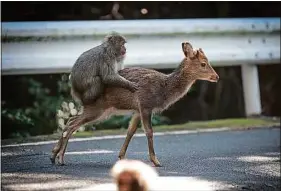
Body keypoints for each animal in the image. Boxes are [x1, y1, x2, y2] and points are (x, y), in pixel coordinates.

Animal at [50, 41, 219, 166]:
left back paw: (54, 156)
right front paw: (156, 161)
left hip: (100, 110)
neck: (163, 89)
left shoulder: (137, 110)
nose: (216, 76)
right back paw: (60, 158)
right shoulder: (145, 104)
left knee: (70, 121)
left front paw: (121, 157)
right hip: (97, 108)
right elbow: (149, 131)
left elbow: (130, 131)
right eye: (203, 64)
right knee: (72, 124)